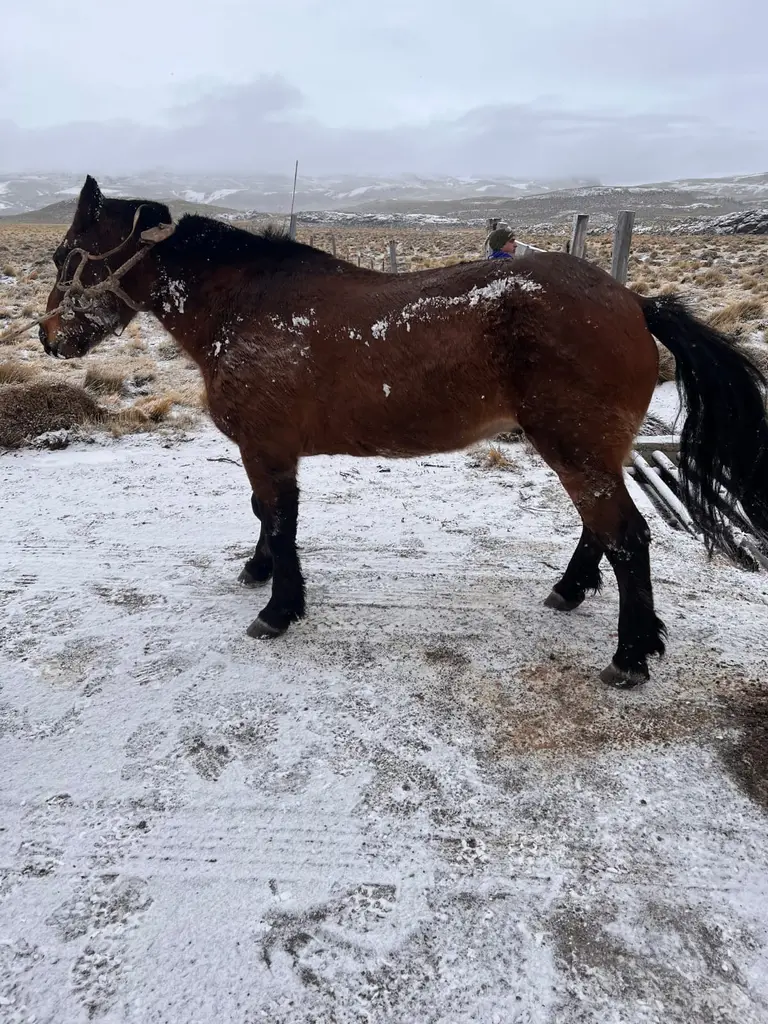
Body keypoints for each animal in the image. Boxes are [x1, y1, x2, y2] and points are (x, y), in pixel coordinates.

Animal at [37, 176, 768, 688]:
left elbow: (278, 518)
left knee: (627, 538)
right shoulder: (269, 451)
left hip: (577, 449)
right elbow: (266, 515)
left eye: (63, 254)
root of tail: (634, 302)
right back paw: (569, 591)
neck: (244, 308)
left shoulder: (266, 448)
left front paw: (279, 607)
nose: (48, 338)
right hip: (584, 451)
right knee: (601, 529)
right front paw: (258, 570)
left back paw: (631, 655)